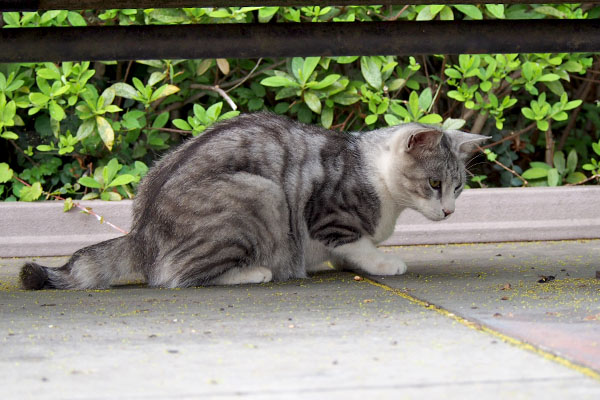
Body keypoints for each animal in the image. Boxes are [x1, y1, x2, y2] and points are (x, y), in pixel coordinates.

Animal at [19, 113, 488, 290]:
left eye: (459, 187)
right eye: (433, 183)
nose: (449, 211)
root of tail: (141, 232)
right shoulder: (329, 215)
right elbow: (356, 244)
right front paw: (382, 262)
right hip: (261, 195)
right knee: (179, 275)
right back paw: (255, 272)